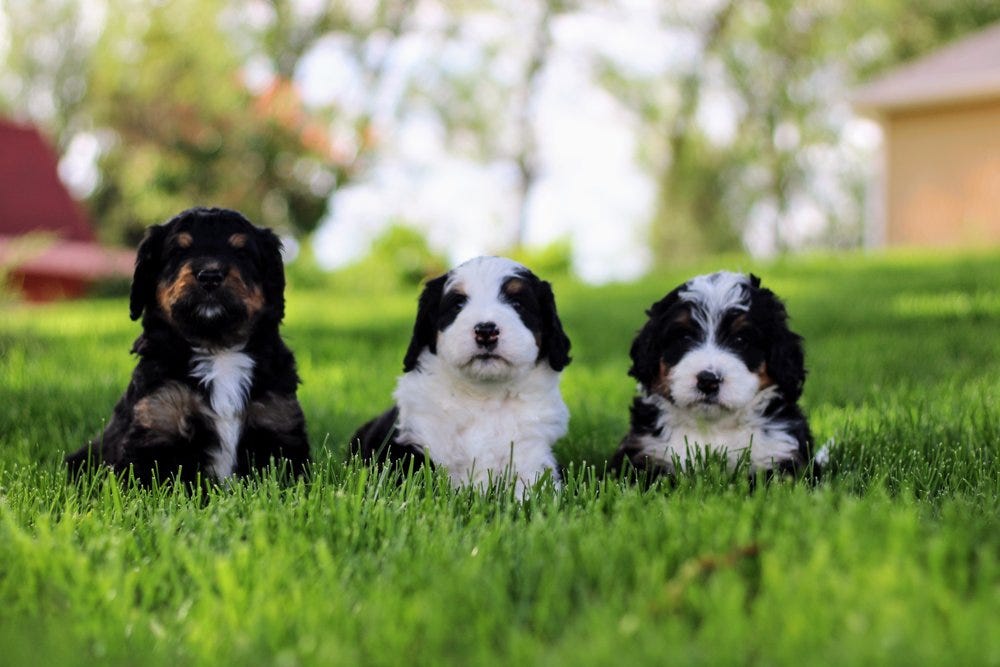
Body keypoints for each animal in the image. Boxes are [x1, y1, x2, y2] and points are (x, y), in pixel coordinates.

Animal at [66, 207, 308, 486]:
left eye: (242, 252)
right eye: (178, 251)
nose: (210, 276)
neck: (218, 349)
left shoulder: (279, 422)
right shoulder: (157, 422)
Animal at [350, 256, 572, 496]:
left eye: (517, 304)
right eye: (457, 305)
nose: (486, 331)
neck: (484, 395)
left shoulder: (532, 453)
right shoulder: (414, 440)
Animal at [608, 272, 812, 480]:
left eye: (741, 340)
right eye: (684, 338)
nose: (708, 381)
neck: (713, 427)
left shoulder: (781, 453)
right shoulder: (645, 452)